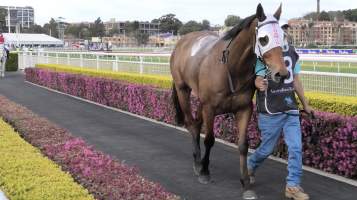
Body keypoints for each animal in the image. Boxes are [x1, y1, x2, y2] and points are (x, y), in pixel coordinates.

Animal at [170, 3, 290, 200]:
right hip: (183, 90)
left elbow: (242, 145)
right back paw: (198, 163)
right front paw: (205, 172)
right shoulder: (210, 107)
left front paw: (246, 183)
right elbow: (209, 139)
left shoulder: (243, 108)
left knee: (196, 123)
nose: (282, 73)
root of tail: (182, 41)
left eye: (283, 36)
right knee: (191, 124)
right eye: (264, 39)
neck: (232, 68)